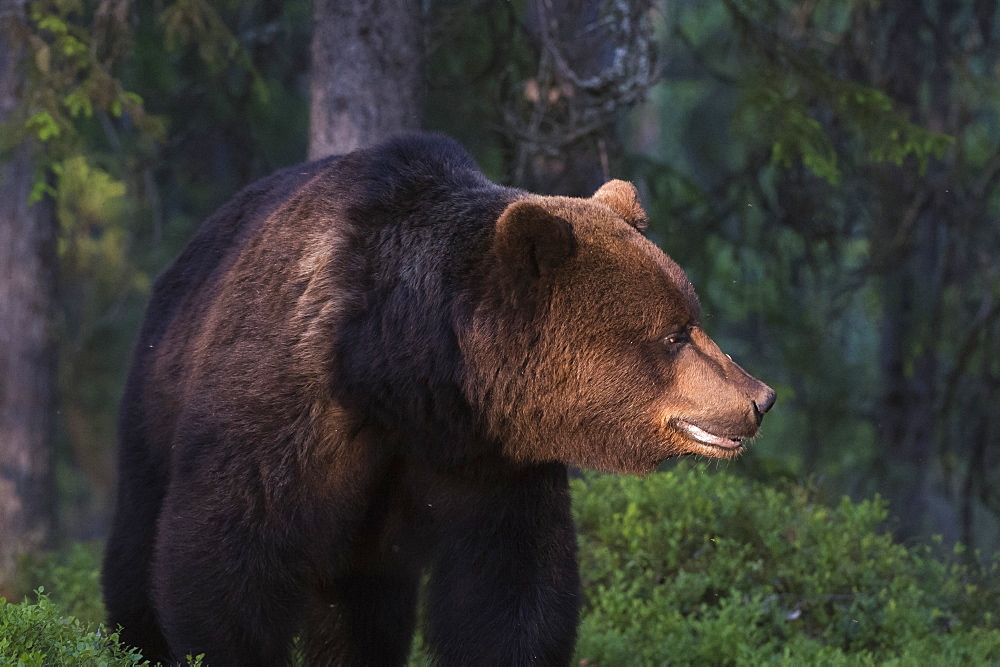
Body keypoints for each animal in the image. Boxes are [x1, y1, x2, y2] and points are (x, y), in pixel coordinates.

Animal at [101, 133, 772, 664]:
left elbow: (510, 591)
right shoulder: (288, 406)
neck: (405, 375)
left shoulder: (489, 459)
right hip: (155, 394)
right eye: (674, 335)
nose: (759, 398)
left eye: (692, 317)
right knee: (136, 547)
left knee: (363, 610)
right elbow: (225, 564)